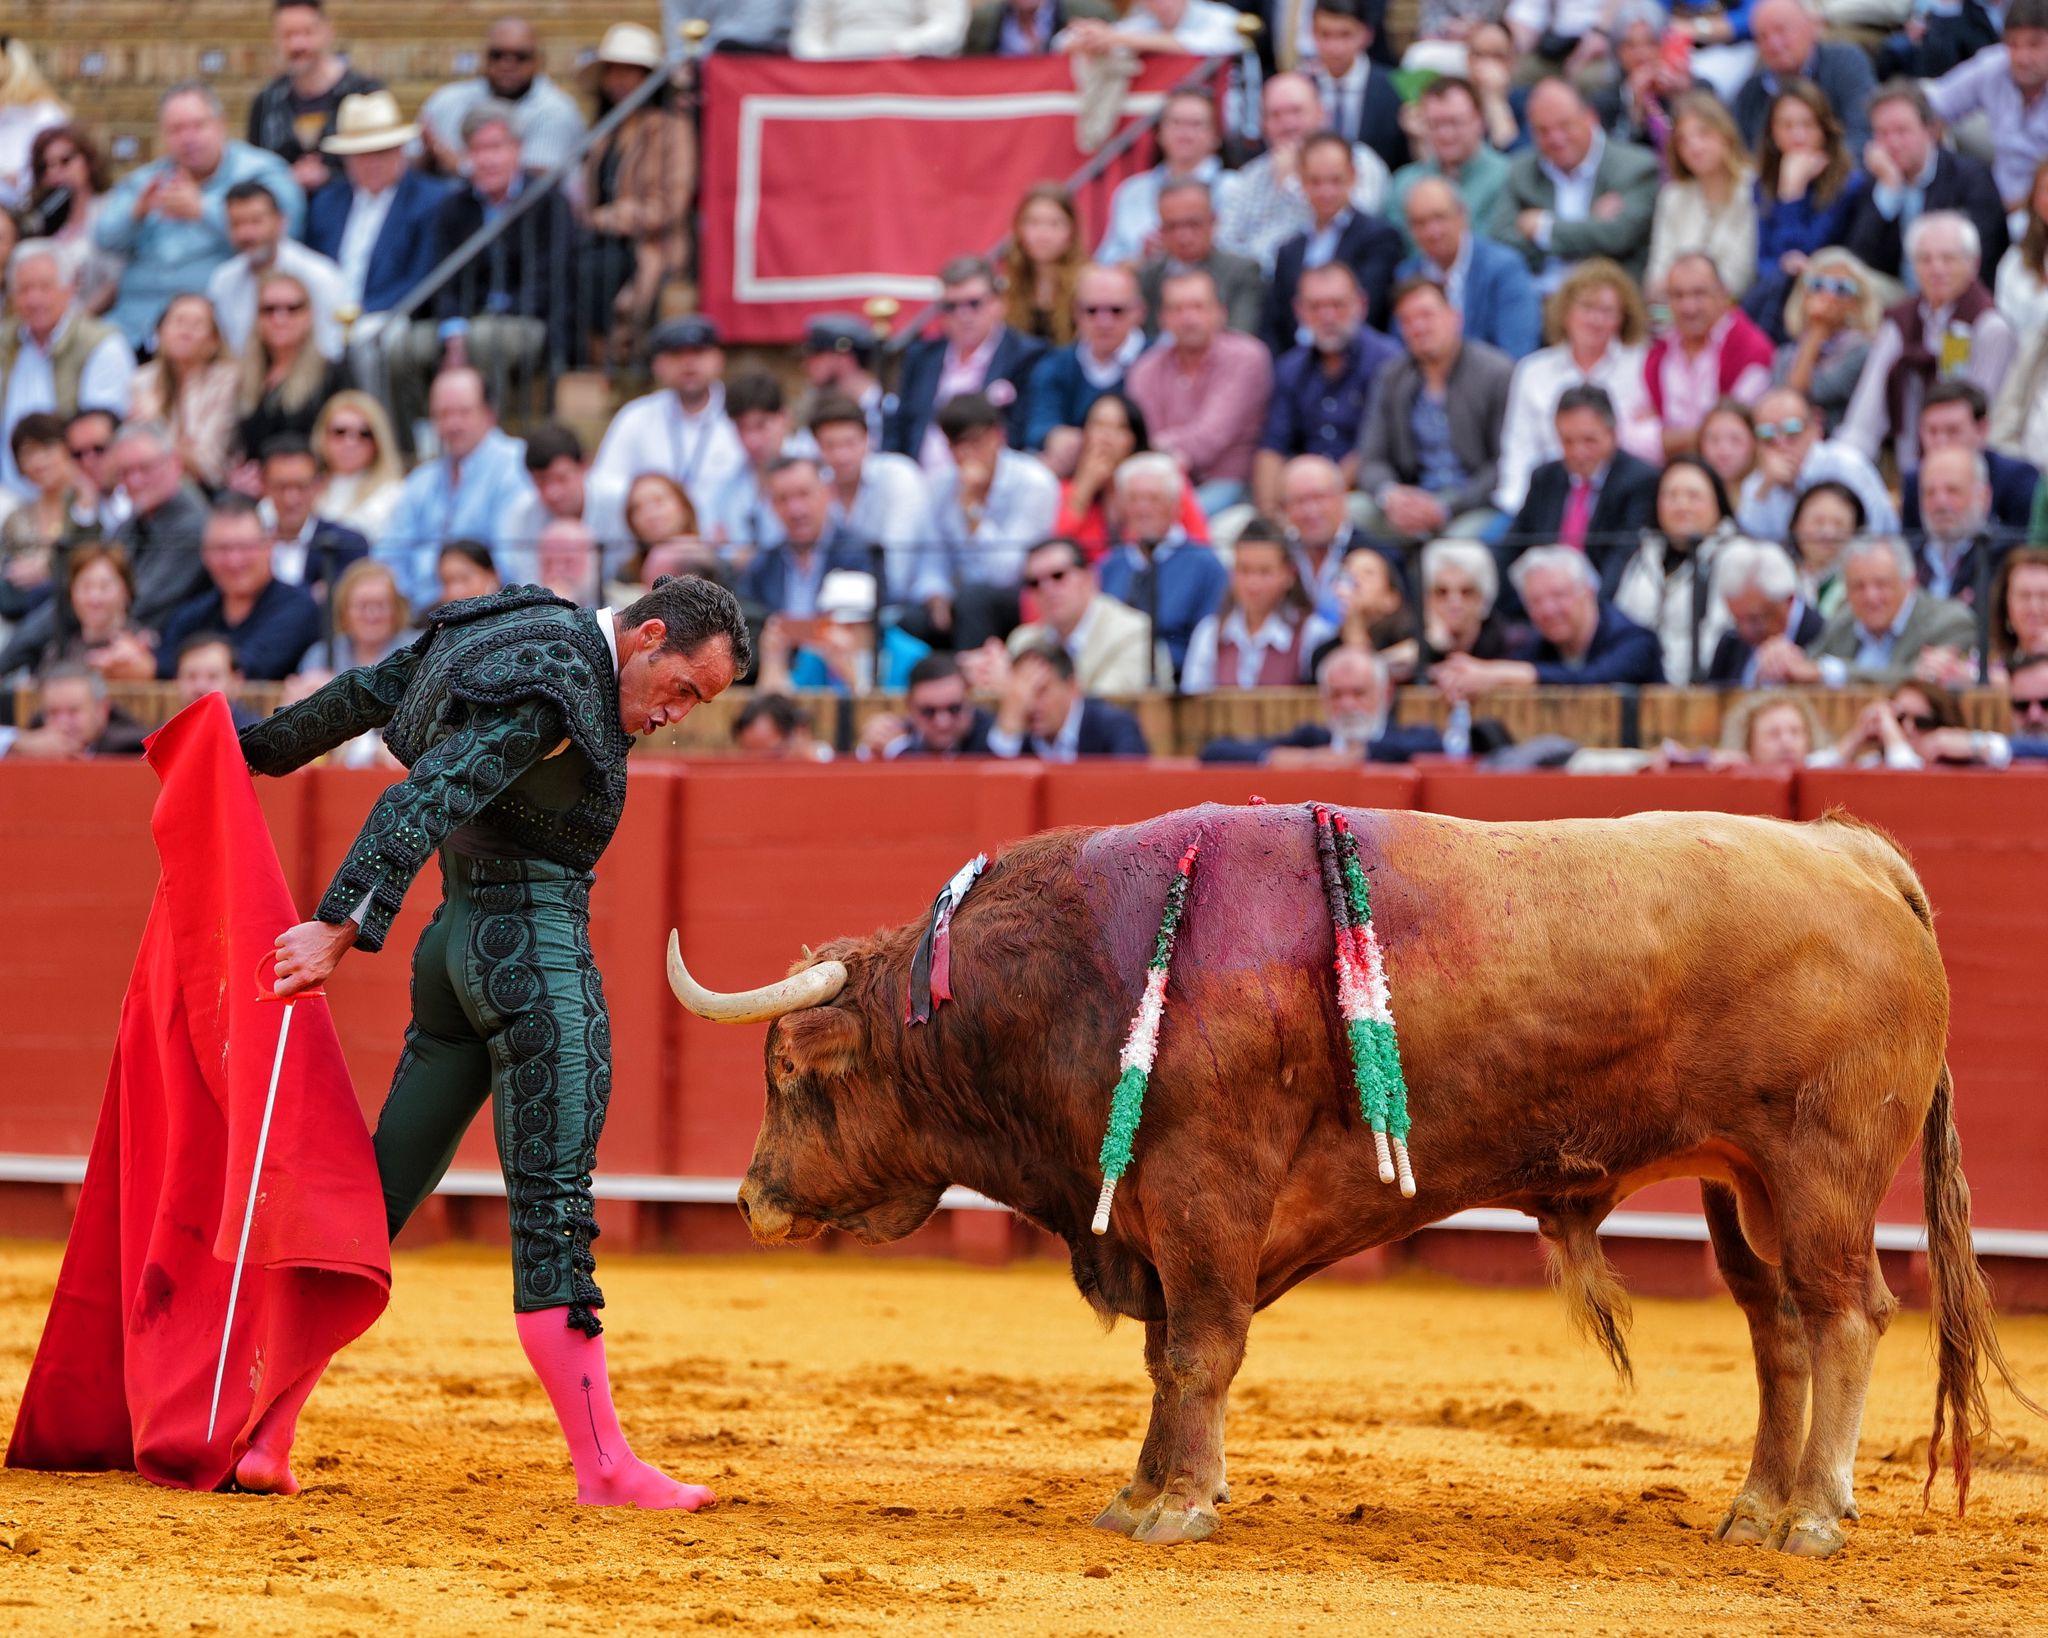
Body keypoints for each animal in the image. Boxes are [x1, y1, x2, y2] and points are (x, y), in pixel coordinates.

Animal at [666, 802, 2036, 1553]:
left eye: (787, 1070)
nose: (750, 1200)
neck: (1076, 969)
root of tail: (1846, 853)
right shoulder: (1155, 1213)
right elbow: (1166, 1358)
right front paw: (1141, 1490)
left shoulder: (1204, 1191)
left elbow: (1199, 1349)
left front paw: (1179, 1506)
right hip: (1736, 1185)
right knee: (1778, 1333)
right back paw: (1754, 1509)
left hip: (1820, 1169)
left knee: (1848, 1313)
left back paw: (1813, 1517)